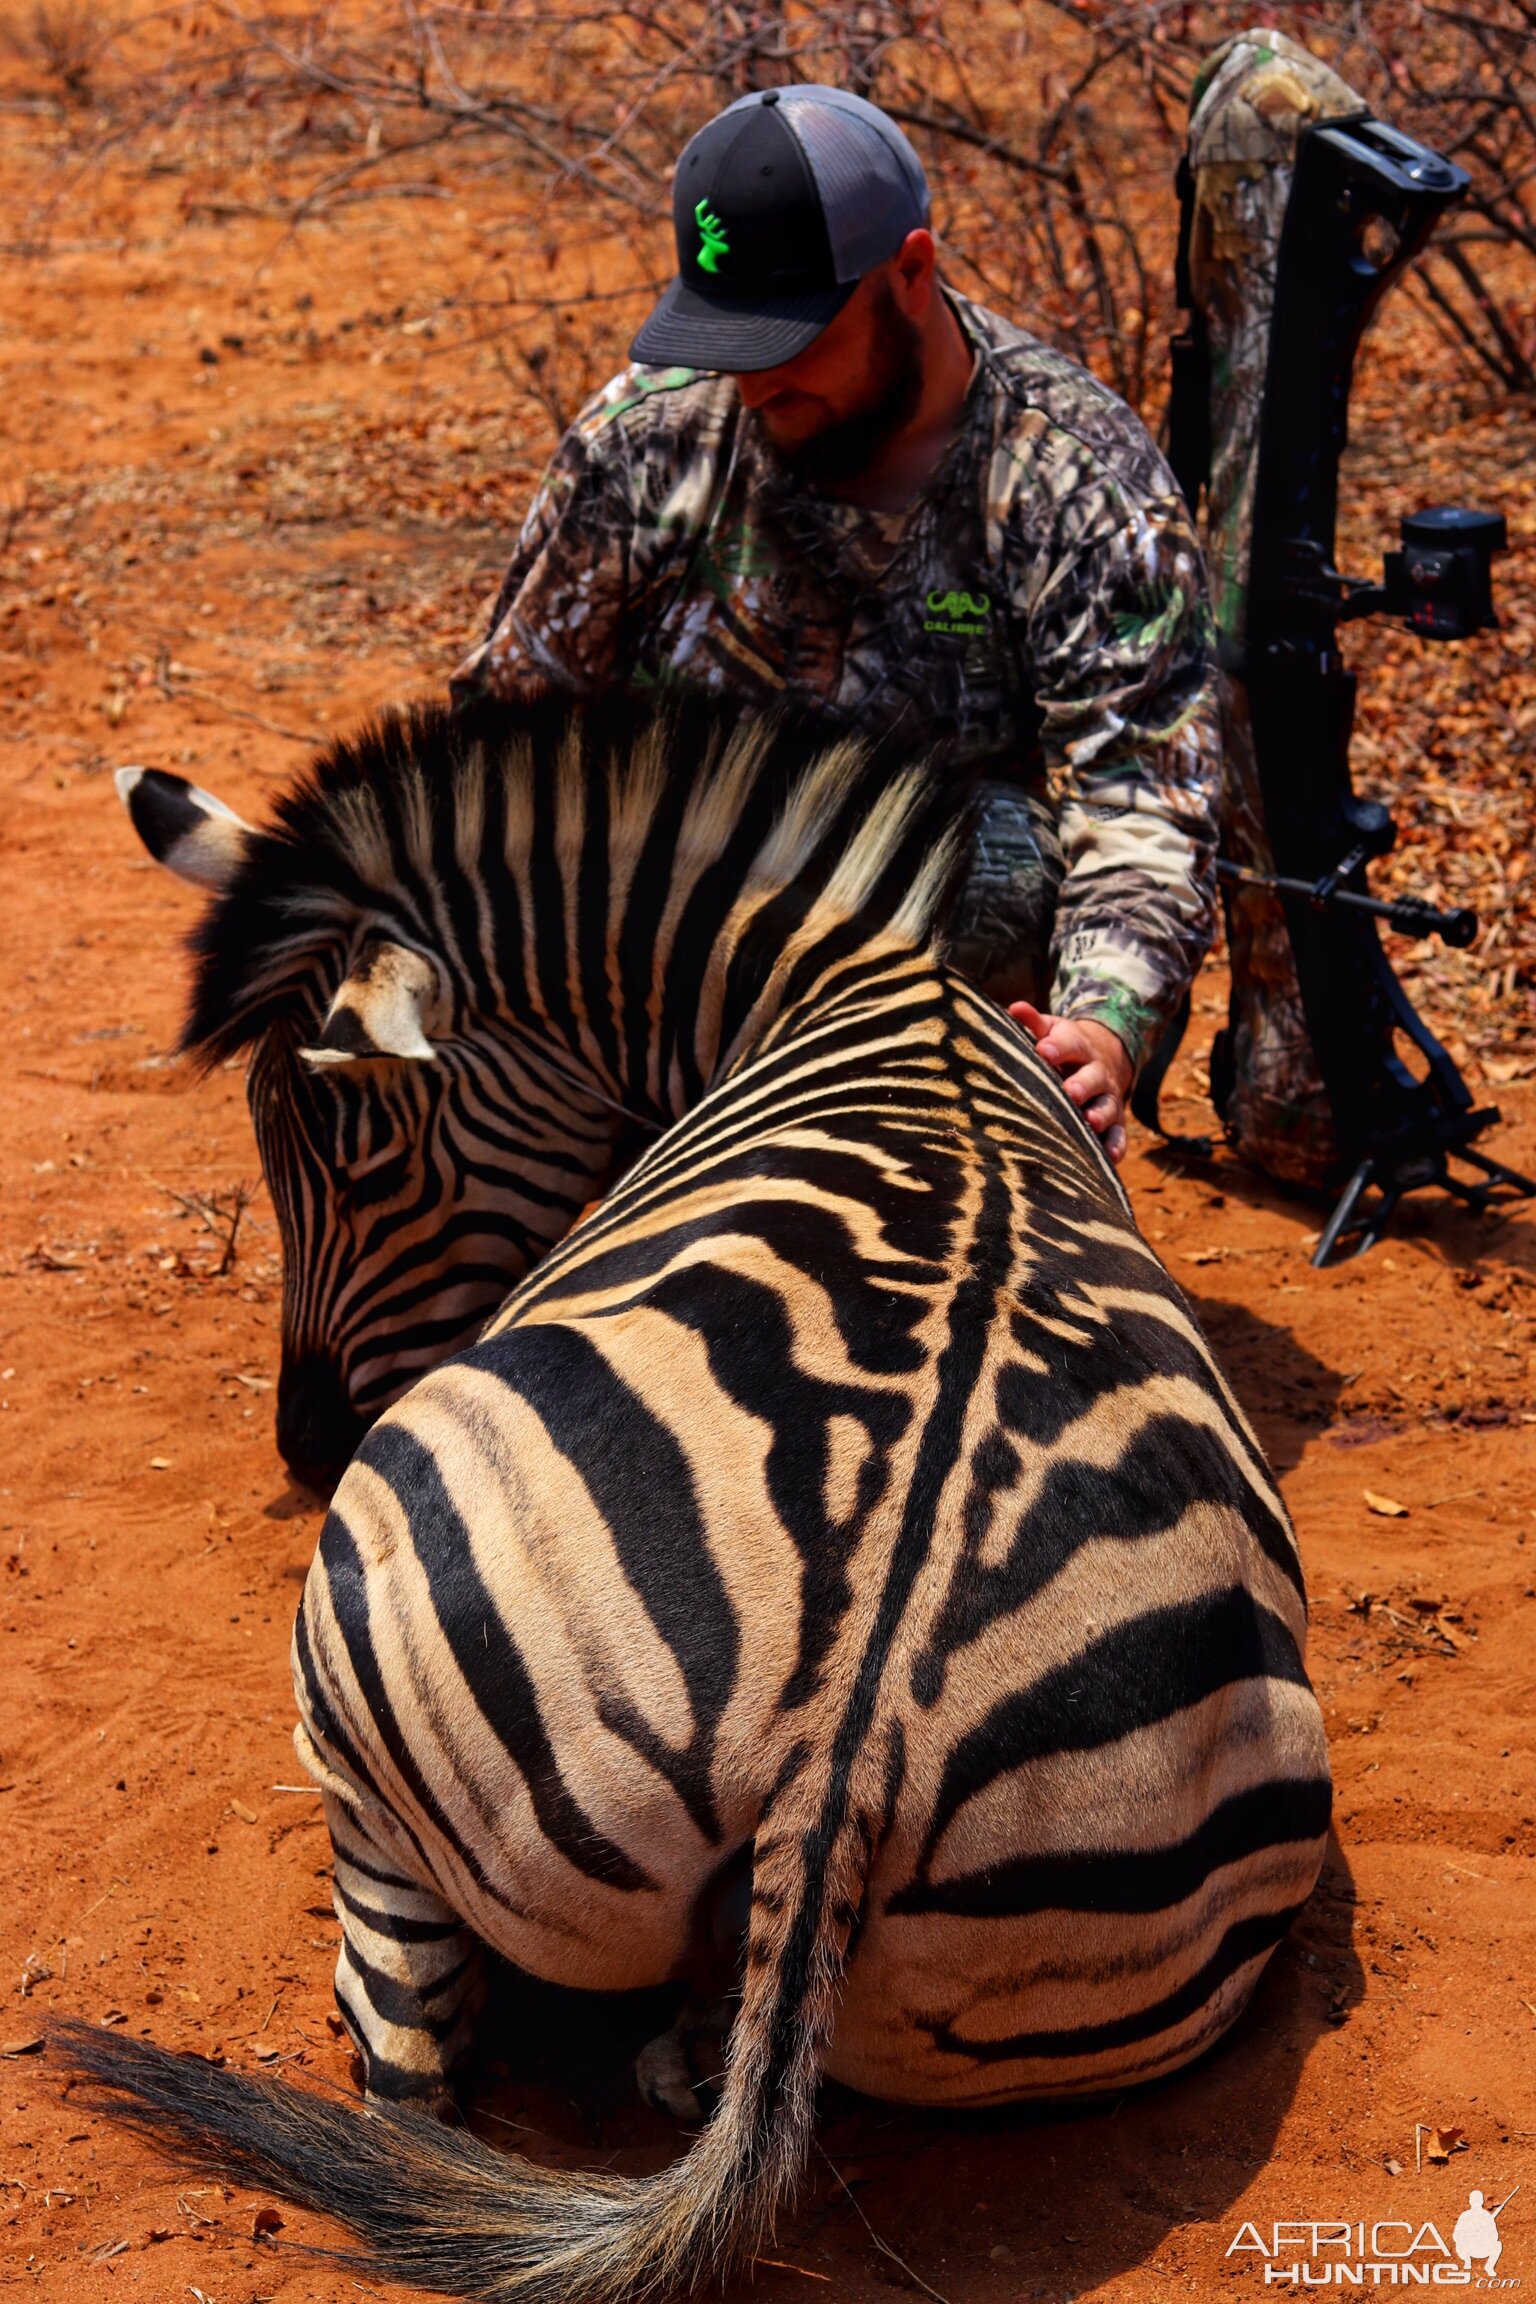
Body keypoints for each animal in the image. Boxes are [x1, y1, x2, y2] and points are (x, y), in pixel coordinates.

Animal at [74, 695, 1335, 2304]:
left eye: (368, 1161)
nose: (303, 1446)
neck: (862, 979)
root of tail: (848, 1743)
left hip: (358, 1708)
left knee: (407, 2073)